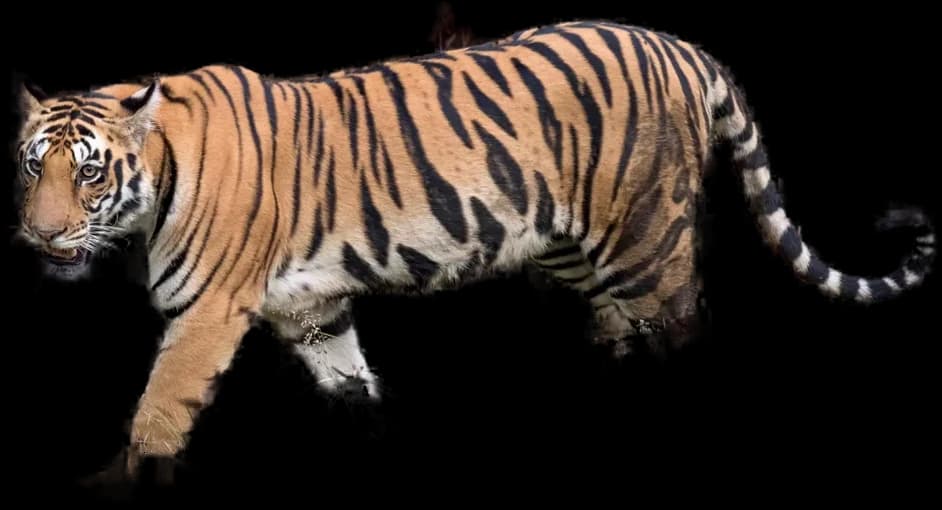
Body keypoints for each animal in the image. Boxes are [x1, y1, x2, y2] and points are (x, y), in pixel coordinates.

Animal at [12, 19, 935, 485]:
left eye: (89, 174)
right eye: (32, 167)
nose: (41, 234)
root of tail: (683, 47)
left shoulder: (205, 312)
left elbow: (157, 414)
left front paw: (126, 481)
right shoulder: (314, 311)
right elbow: (353, 387)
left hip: (647, 238)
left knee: (682, 328)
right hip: (572, 248)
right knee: (619, 329)